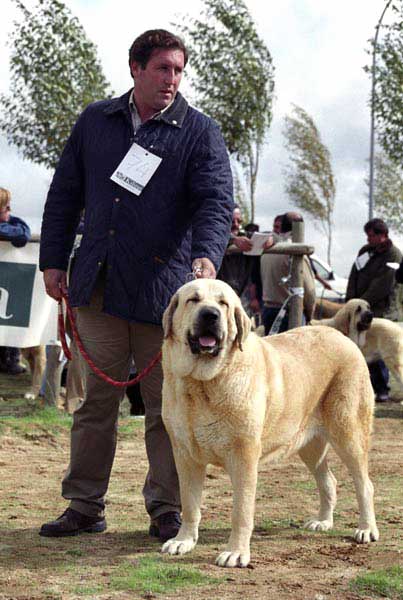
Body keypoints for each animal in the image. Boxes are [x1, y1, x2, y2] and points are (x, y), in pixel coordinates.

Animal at [160, 278, 378, 564]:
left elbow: (241, 511)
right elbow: (189, 503)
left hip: (348, 433)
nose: (210, 315)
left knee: (365, 484)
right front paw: (183, 541)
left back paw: (366, 529)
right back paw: (323, 521)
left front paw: (236, 552)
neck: (203, 384)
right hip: (309, 445)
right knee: (328, 481)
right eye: (193, 300)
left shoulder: (243, 456)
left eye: (223, 303)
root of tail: (341, 336)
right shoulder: (185, 456)